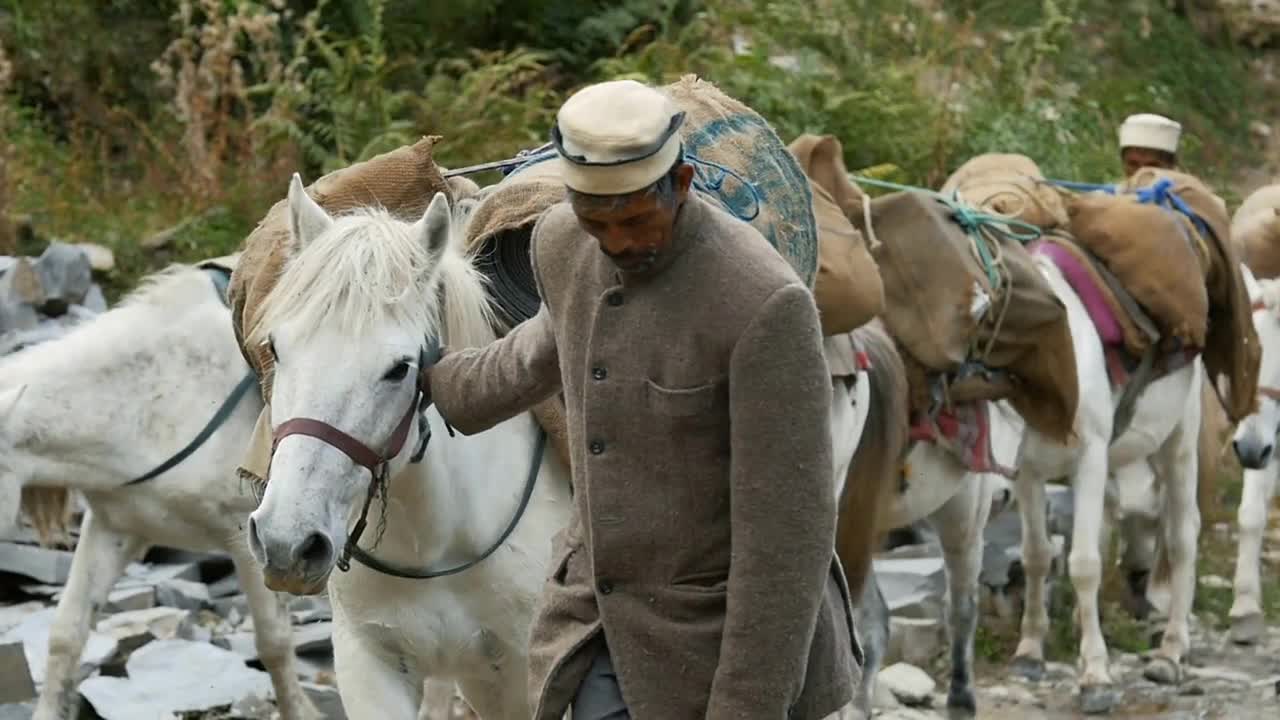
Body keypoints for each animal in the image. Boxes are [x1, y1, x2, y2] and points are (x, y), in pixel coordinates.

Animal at [1003, 244, 1203, 707]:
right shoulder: (1029, 473)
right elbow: (1037, 555)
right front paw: (1030, 650)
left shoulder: (1090, 459)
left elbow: (1083, 564)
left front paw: (1095, 674)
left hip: (1178, 445)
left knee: (1182, 536)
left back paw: (1171, 651)